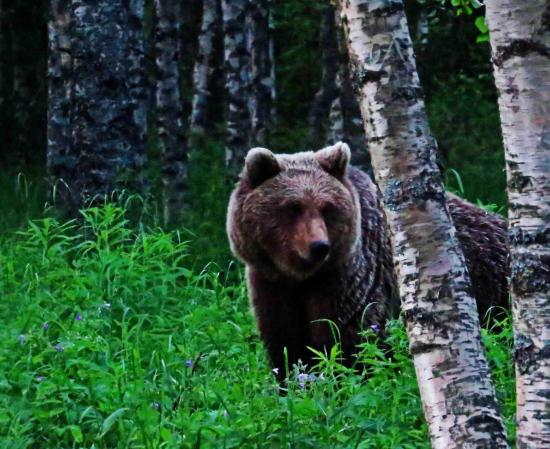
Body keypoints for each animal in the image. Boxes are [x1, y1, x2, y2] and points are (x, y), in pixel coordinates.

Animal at [226, 142, 512, 380]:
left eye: (326, 207)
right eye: (293, 207)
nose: (319, 246)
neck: (302, 277)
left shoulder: (348, 280)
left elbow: (349, 342)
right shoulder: (271, 285)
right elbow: (286, 346)